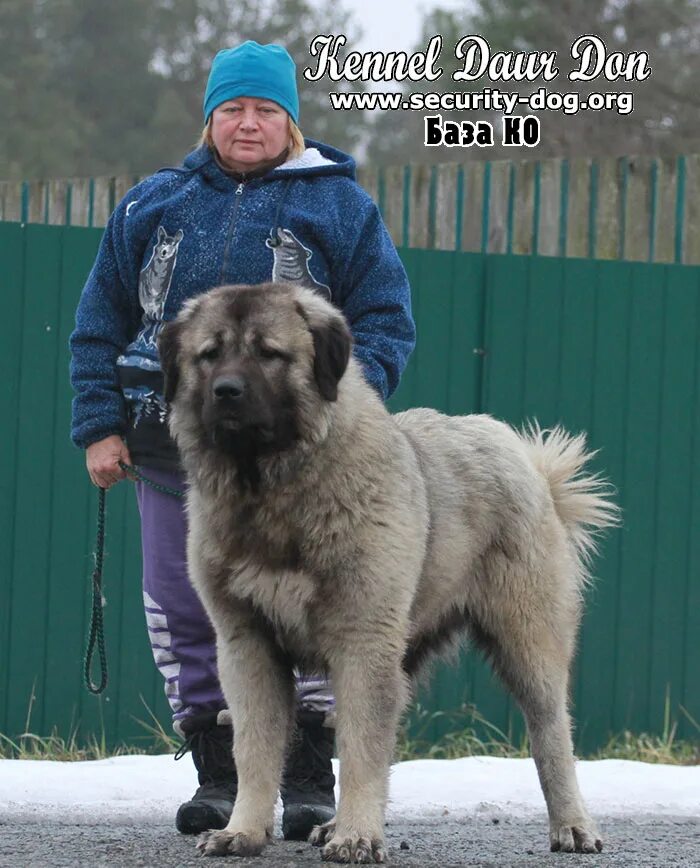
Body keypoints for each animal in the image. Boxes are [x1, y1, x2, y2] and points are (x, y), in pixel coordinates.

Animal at [159, 280, 616, 860]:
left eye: (269, 353)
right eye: (210, 354)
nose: (226, 391)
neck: (275, 494)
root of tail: (525, 457)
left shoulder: (363, 641)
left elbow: (361, 749)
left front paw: (356, 836)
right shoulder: (249, 645)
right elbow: (256, 749)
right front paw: (244, 831)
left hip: (527, 644)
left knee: (551, 735)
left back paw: (573, 825)